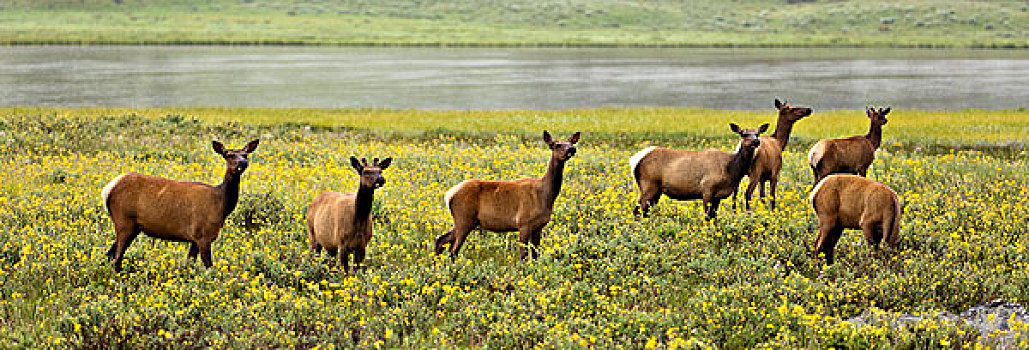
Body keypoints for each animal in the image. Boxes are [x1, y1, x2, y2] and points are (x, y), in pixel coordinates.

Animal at [100, 138, 259, 269]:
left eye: (245, 154)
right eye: (228, 154)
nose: (243, 163)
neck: (221, 205)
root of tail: (107, 189)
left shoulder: (195, 238)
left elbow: (189, 264)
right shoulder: (203, 235)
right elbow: (209, 266)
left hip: (133, 227)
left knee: (110, 254)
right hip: (124, 221)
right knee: (116, 258)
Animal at [432, 129, 580, 258]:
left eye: (571, 143)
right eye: (556, 145)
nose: (572, 149)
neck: (546, 196)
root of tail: (449, 195)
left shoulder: (539, 226)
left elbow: (535, 255)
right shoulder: (524, 222)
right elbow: (523, 255)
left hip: (462, 221)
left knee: (441, 240)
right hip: (464, 219)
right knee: (453, 250)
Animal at [629, 124, 769, 220]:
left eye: (757, 133)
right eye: (743, 134)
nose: (756, 141)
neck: (731, 170)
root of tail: (635, 160)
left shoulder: (718, 196)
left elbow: (714, 217)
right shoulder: (707, 188)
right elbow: (707, 216)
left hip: (656, 190)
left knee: (645, 211)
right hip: (648, 184)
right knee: (637, 210)